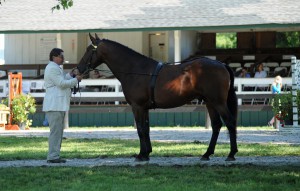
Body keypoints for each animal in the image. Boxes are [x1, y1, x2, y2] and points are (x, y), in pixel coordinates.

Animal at [76, 33, 238, 162]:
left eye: (89, 50)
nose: (78, 69)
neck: (135, 69)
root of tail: (221, 64)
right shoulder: (145, 108)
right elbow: (146, 129)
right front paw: (147, 153)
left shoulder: (137, 106)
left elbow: (140, 129)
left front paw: (141, 155)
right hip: (210, 102)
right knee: (216, 125)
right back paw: (207, 154)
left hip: (218, 102)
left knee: (230, 122)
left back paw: (231, 154)